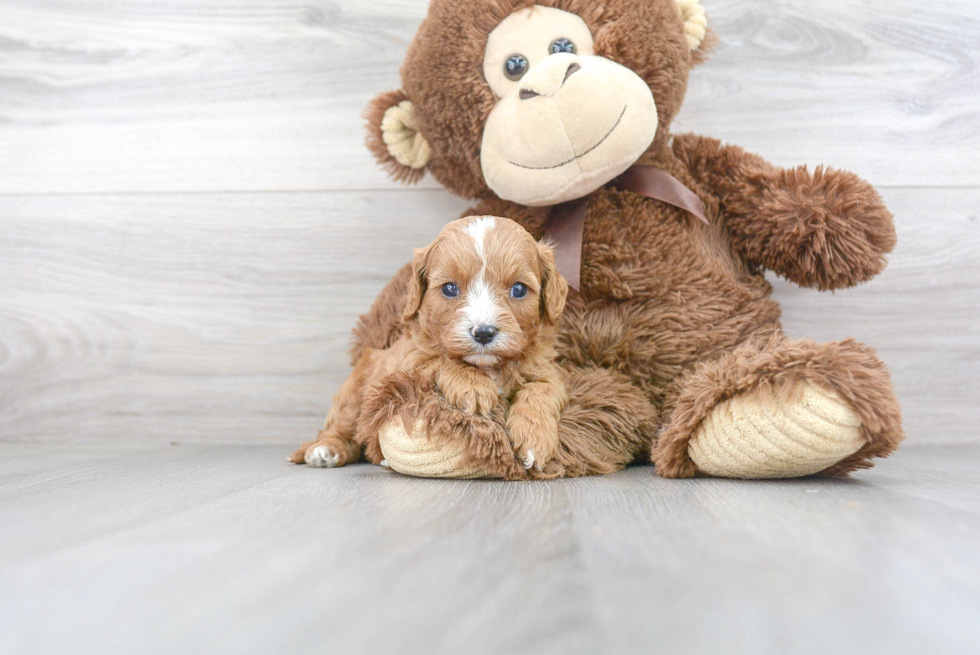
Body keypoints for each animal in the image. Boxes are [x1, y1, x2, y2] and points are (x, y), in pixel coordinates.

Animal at [288, 218, 572, 474]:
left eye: (519, 289)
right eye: (449, 288)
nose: (483, 332)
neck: (487, 366)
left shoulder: (548, 371)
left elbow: (541, 390)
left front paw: (535, 439)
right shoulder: (409, 359)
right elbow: (439, 360)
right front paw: (473, 385)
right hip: (353, 393)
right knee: (343, 430)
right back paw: (325, 450)